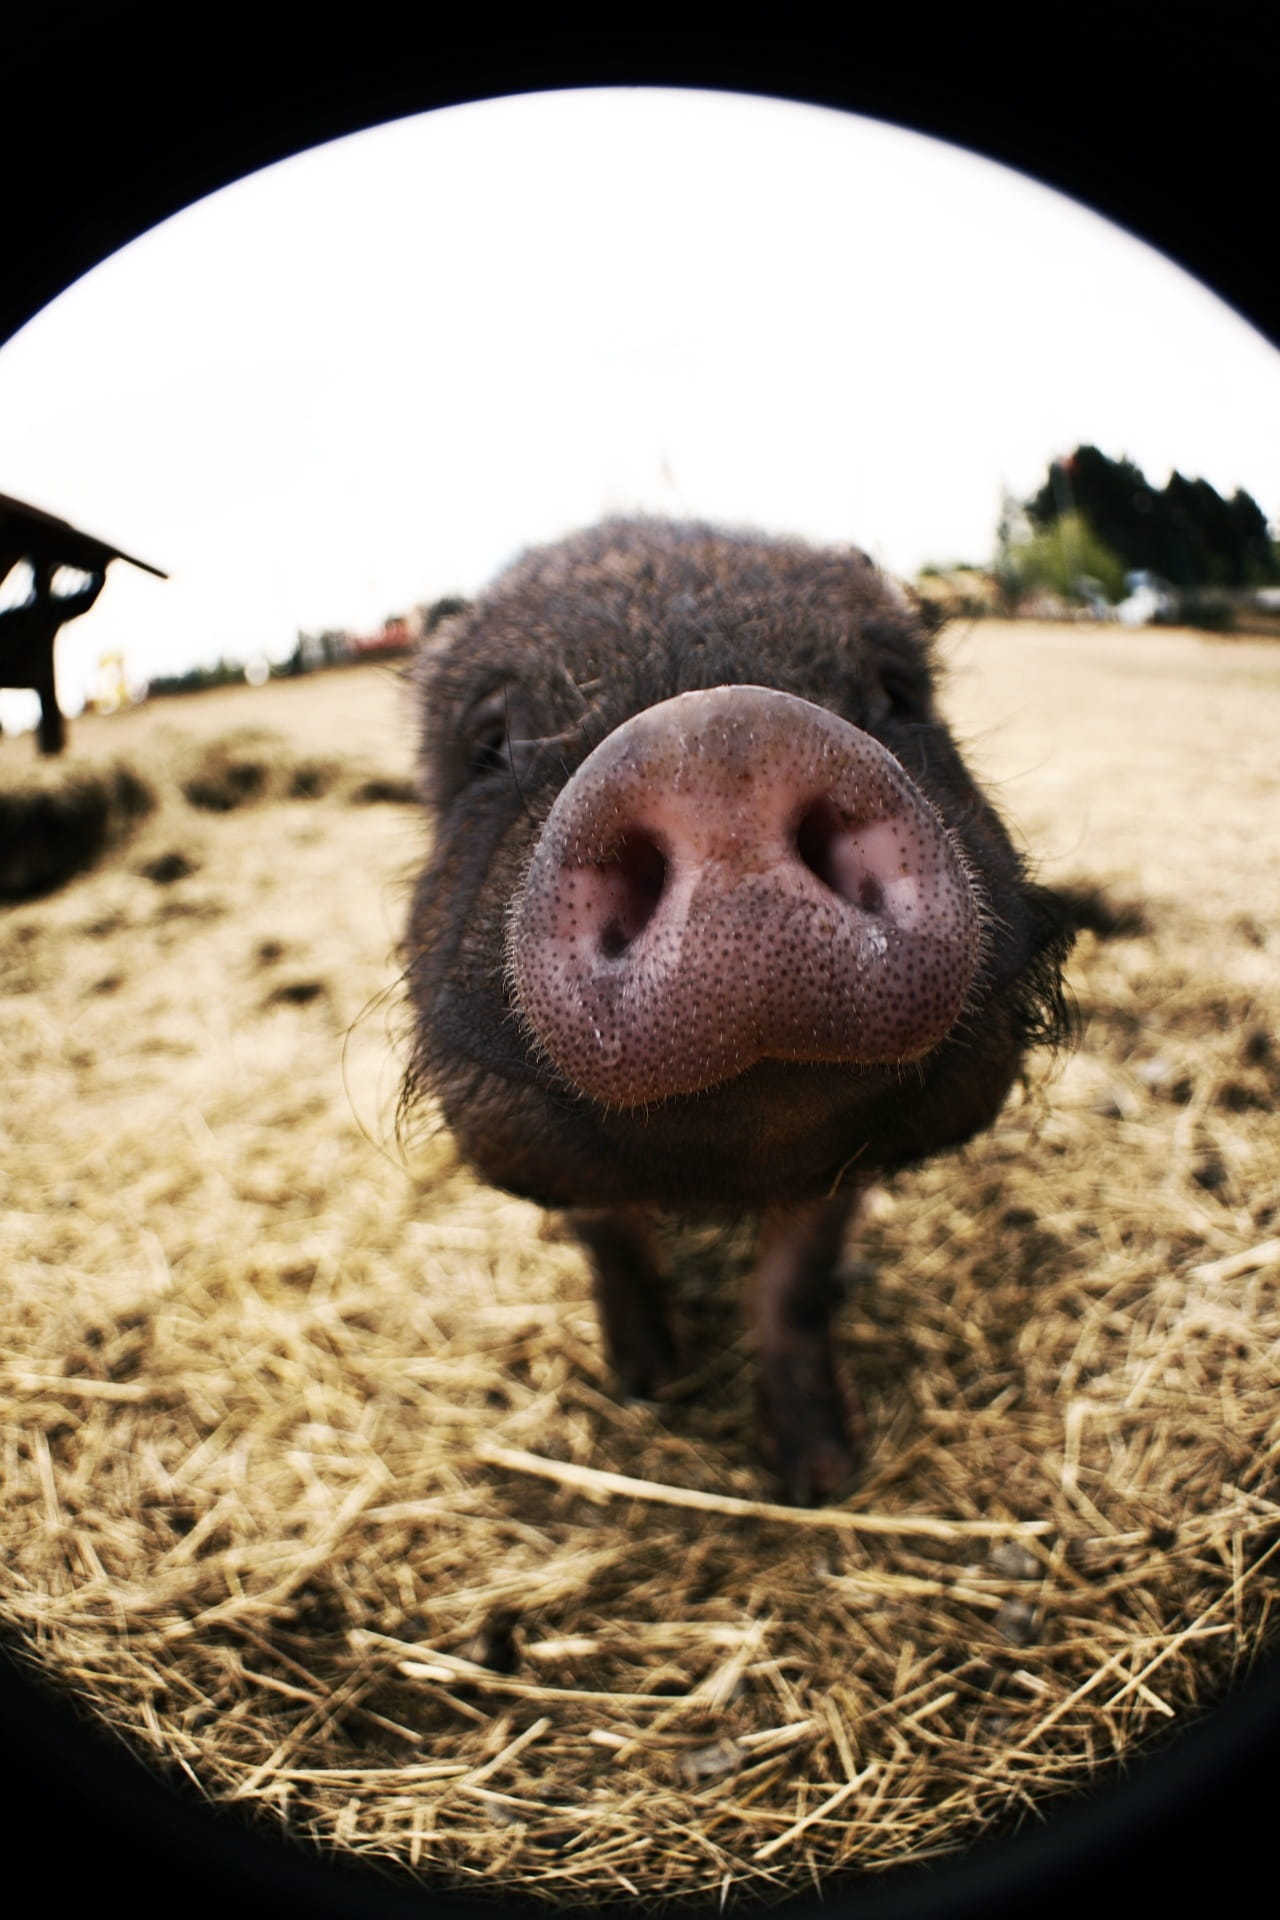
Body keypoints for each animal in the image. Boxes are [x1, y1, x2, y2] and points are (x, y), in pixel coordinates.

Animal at [403, 519, 1072, 1504]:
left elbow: (792, 1289)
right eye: (489, 739)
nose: (718, 736)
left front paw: (821, 1478)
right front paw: (649, 1384)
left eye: (896, 690)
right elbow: (610, 1243)